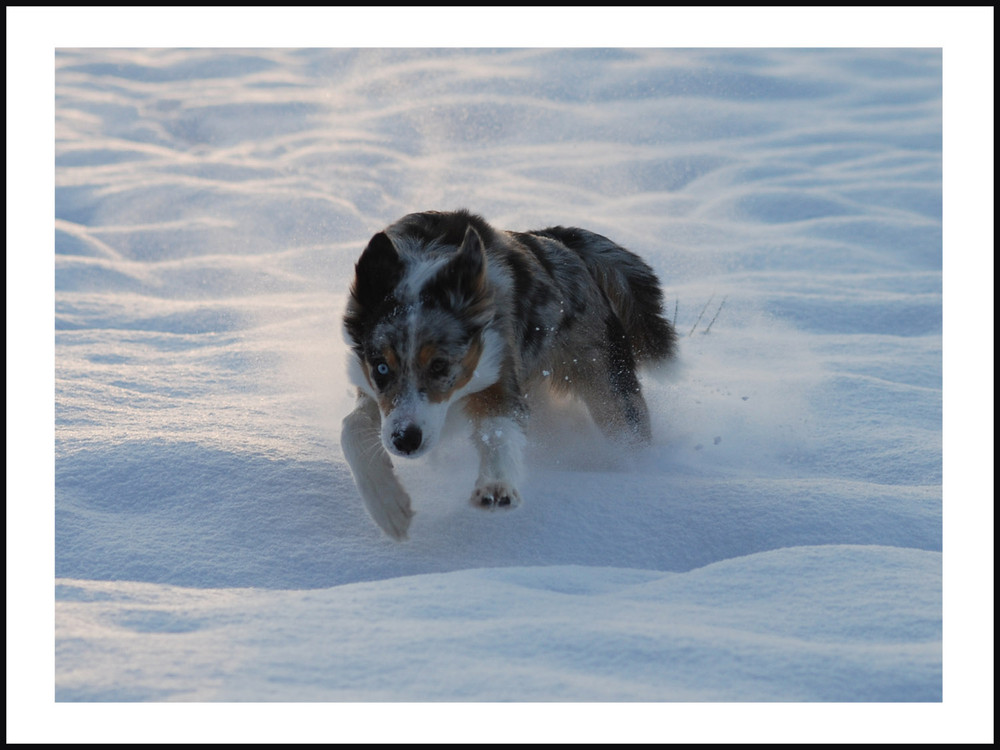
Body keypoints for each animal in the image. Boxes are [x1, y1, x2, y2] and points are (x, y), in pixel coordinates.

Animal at [340, 212, 676, 540]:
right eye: (381, 367)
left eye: (440, 365)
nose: (405, 440)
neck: (423, 273)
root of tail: (553, 239)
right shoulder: (375, 392)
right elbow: (352, 428)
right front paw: (388, 507)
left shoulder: (499, 368)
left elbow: (498, 430)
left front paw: (496, 486)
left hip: (607, 385)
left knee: (627, 432)